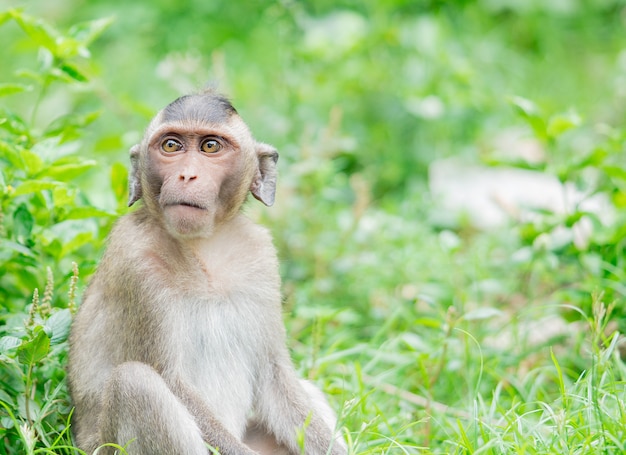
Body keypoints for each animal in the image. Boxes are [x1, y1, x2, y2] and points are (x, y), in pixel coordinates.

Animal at [68, 91, 346, 455]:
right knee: (134, 383)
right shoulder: (135, 263)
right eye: (171, 146)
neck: (205, 248)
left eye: (210, 147)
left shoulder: (261, 257)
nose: (187, 176)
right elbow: (171, 381)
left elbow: (276, 378)